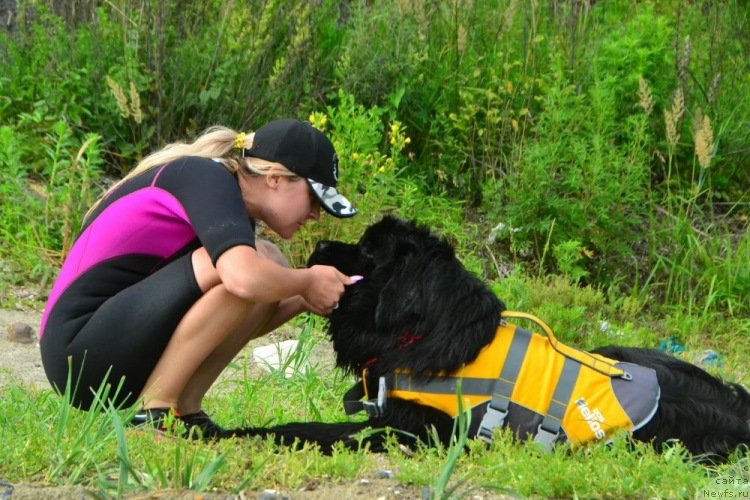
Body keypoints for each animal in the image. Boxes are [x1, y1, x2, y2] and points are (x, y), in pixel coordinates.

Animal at [242, 217, 750, 458]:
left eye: (367, 251)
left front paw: (239, 433)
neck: (421, 336)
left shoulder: (421, 432)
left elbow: (317, 431)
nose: (319, 246)